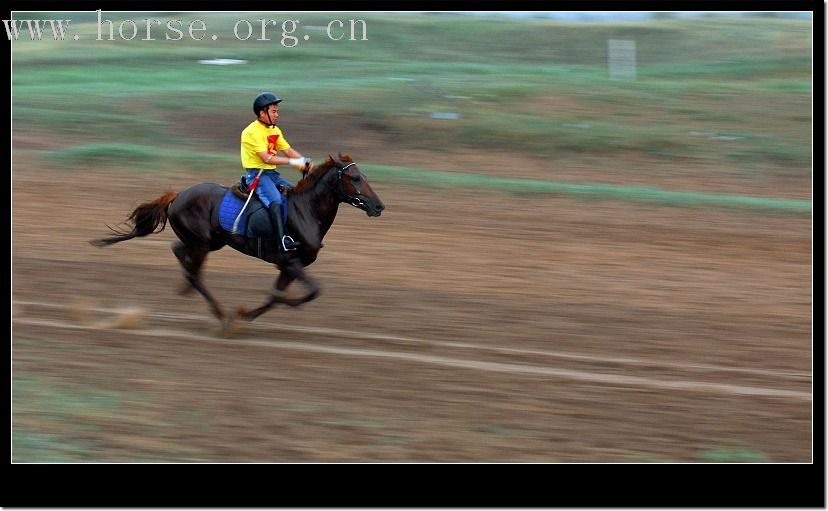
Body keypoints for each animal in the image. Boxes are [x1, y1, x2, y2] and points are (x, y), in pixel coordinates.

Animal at [90, 153, 384, 328]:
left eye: (365, 176)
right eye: (355, 178)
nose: (379, 206)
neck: (305, 211)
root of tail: (178, 195)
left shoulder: (287, 267)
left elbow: (274, 297)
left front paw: (248, 313)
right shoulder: (291, 263)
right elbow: (309, 291)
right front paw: (277, 303)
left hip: (210, 242)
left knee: (180, 253)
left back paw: (187, 287)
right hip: (202, 243)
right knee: (194, 271)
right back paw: (220, 313)